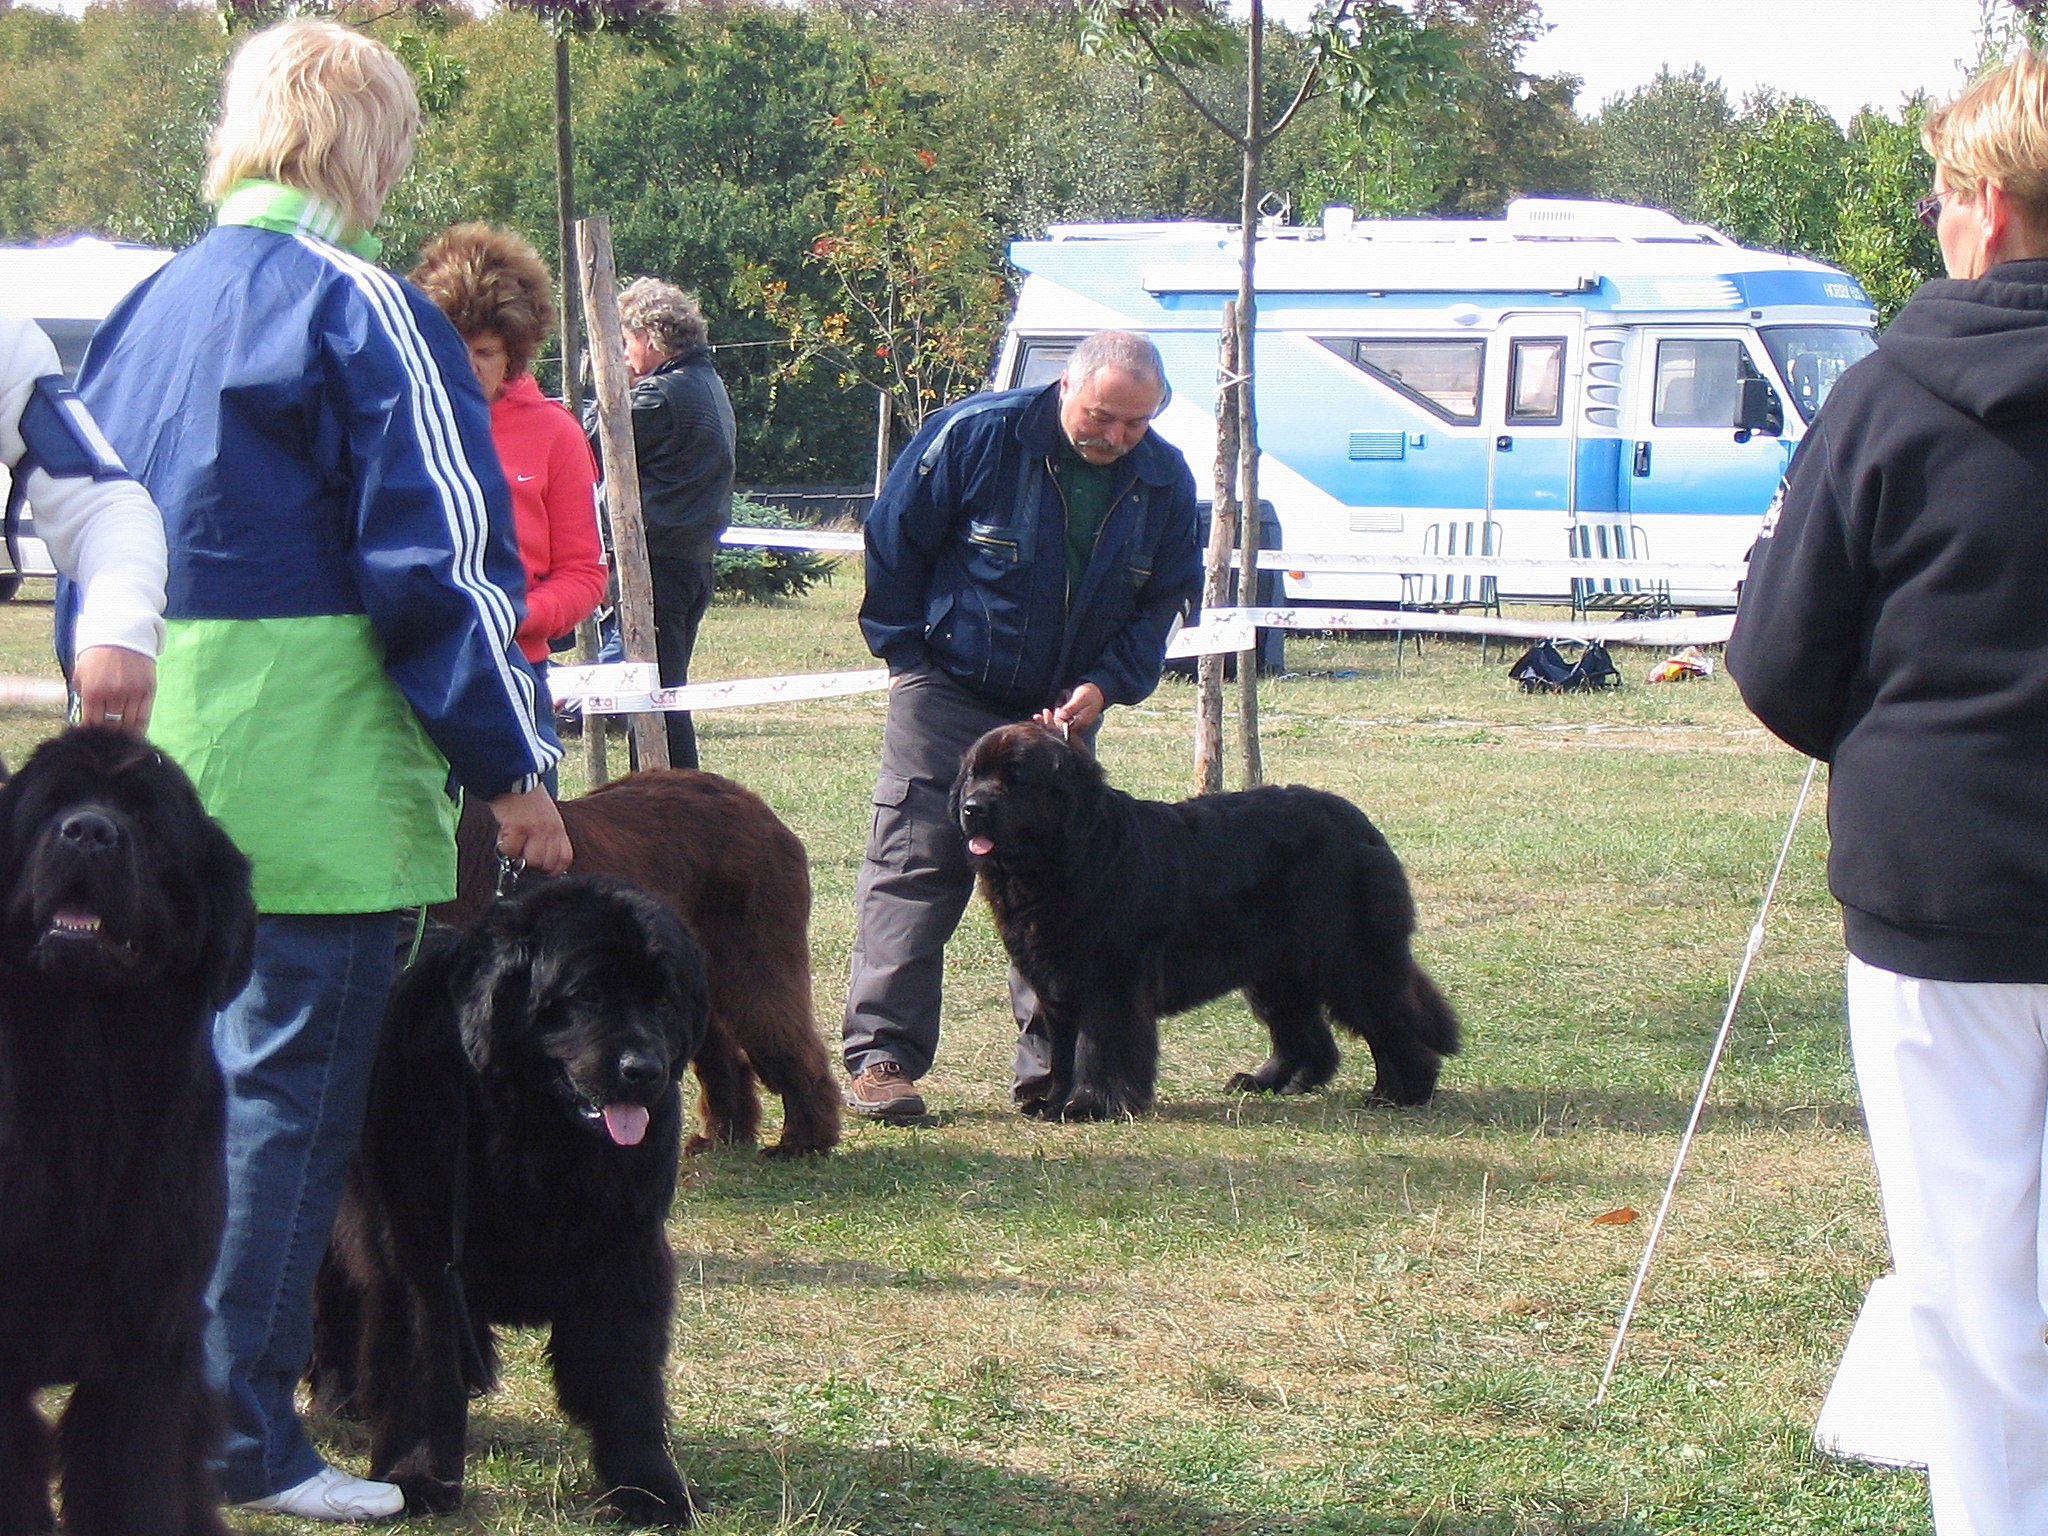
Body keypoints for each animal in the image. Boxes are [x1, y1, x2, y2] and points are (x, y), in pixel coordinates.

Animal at [305, 876, 712, 1531]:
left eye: (664, 1000)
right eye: (587, 994)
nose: (643, 1070)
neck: (532, 1132)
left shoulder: (625, 1250)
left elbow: (627, 1382)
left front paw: (650, 1488)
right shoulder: (423, 1253)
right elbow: (424, 1368)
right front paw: (418, 1475)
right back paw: (339, 1392)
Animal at [954, 729, 1458, 1122]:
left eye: (1016, 778)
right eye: (974, 776)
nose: (971, 808)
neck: (1069, 857)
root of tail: (1361, 824)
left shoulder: (1109, 981)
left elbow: (1098, 1047)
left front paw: (1089, 1106)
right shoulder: (1054, 981)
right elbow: (1061, 1052)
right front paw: (1053, 1102)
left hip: (1346, 956)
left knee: (1389, 1015)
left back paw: (1401, 1091)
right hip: (1276, 968)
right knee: (1303, 1030)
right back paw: (1273, 1080)